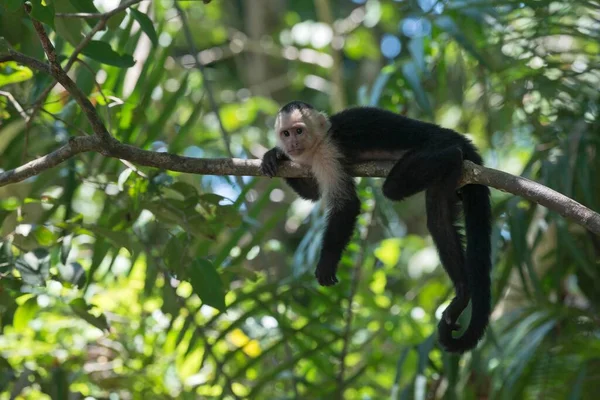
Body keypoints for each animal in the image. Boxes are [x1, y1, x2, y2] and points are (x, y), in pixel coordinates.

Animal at [262, 101, 492, 354]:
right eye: (286, 133)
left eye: (299, 130)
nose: (292, 143)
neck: (319, 140)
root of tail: (456, 136)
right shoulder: (306, 161)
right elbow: (313, 193)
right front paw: (275, 155)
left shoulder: (328, 153)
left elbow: (346, 204)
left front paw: (326, 263)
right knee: (438, 219)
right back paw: (463, 291)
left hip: (436, 144)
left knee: (394, 188)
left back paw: (453, 155)